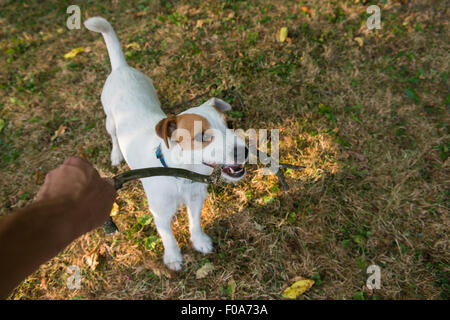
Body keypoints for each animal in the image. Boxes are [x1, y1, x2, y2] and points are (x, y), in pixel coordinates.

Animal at [83, 17, 246, 270]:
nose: (244, 151)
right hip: (109, 120)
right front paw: (173, 257)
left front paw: (199, 242)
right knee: (113, 136)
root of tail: (121, 68)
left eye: (229, 123)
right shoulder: (159, 212)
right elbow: (167, 235)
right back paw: (116, 154)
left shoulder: (196, 198)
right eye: (202, 136)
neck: (180, 175)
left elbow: (194, 222)